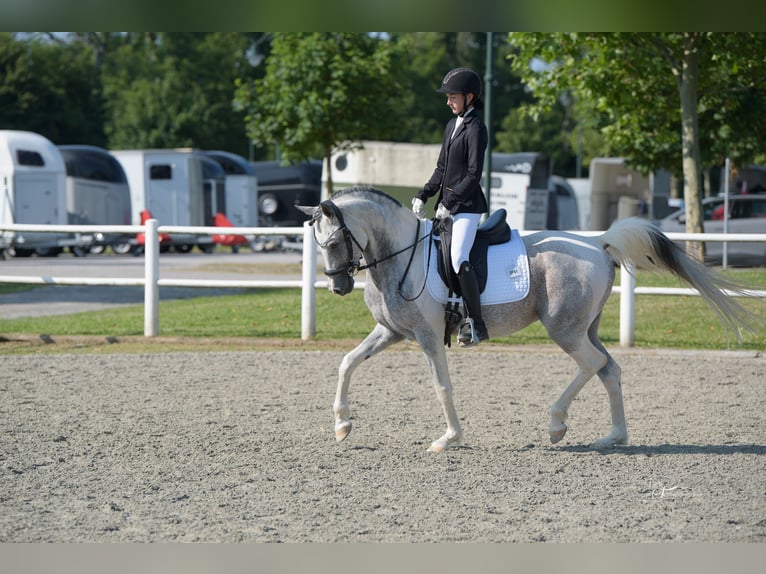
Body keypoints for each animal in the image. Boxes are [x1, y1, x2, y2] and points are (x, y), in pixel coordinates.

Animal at [297, 186, 760, 452]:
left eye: (334, 241)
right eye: (318, 243)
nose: (337, 287)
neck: (399, 256)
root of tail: (599, 243)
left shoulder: (427, 336)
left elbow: (442, 386)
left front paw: (450, 438)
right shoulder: (391, 332)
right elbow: (347, 363)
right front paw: (342, 425)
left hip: (565, 329)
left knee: (592, 364)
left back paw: (557, 425)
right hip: (585, 327)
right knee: (609, 369)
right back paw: (614, 437)